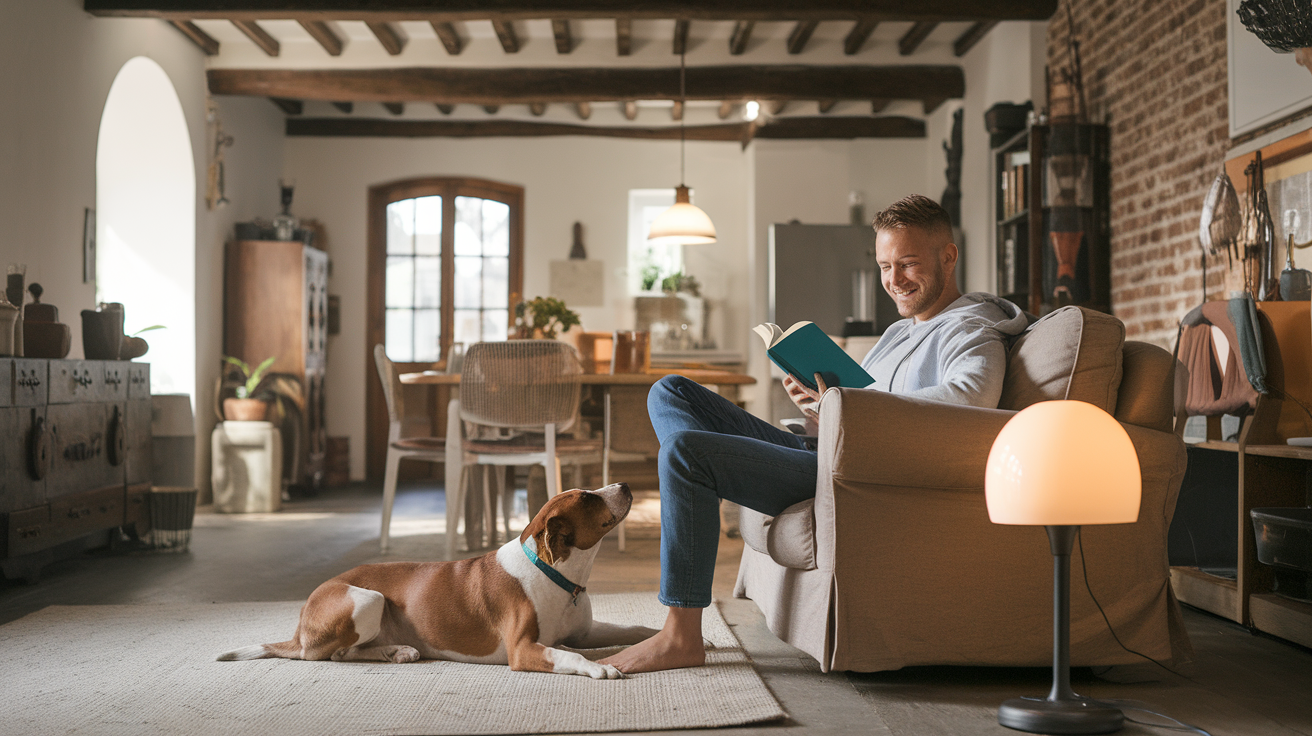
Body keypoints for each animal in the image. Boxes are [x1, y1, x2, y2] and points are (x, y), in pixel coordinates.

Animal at [213, 482, 656, 676]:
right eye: (588, 497)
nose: (624, 484)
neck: (556, 573)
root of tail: (299, 625)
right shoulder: (523, 650)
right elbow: (569, 655)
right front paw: (599, 669)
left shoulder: (585, 631)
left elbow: (634, 628)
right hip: (368, 599)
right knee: (328, 655)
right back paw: (393, 652)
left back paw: (398, 651)